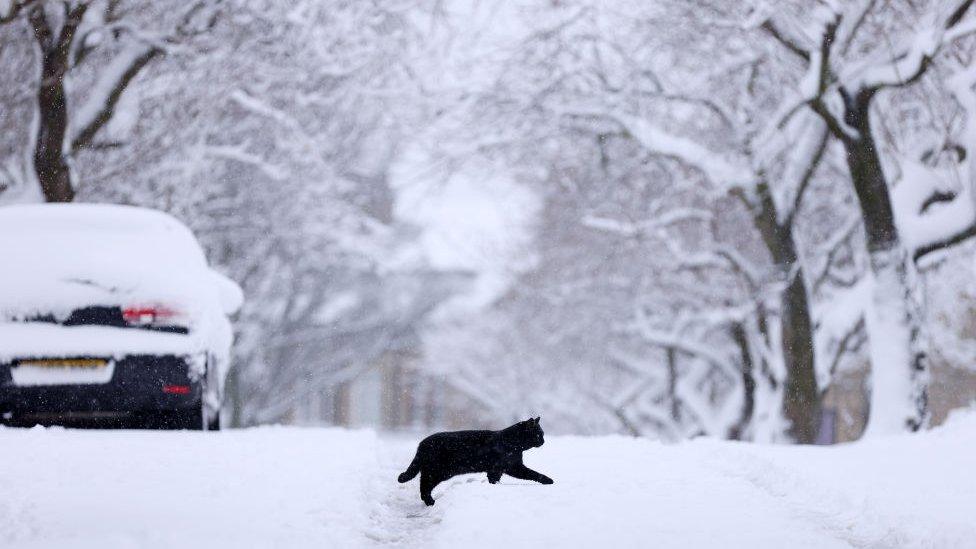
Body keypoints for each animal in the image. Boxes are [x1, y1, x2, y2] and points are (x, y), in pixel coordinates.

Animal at [394, 418, 548, 504]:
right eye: (539, 434)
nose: (543, 441)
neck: (514, 443)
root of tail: (422, 443)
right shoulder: (511, 467)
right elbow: (533, 474)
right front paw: (548, 481)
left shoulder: (501, 469)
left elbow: (495, 479)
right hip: (438, 471)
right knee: (425, 485)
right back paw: (430, 501)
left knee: (423, 483)